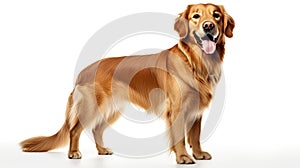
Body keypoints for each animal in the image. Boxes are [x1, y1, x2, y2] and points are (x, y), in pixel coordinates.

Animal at [20, 3, 234, 164]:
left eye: (216, 15)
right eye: (196, 16)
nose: (208, 26)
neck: (196, 63)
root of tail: (83, 72)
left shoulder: (196, 109)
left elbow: (195, 135)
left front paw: (198, 154)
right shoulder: (177, 108)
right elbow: (180, 136)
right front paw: (183, 157)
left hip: (113, 108)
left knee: (96, 129)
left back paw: (102, 150)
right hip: (91, 106)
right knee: (75, 129)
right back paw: (73, 153)